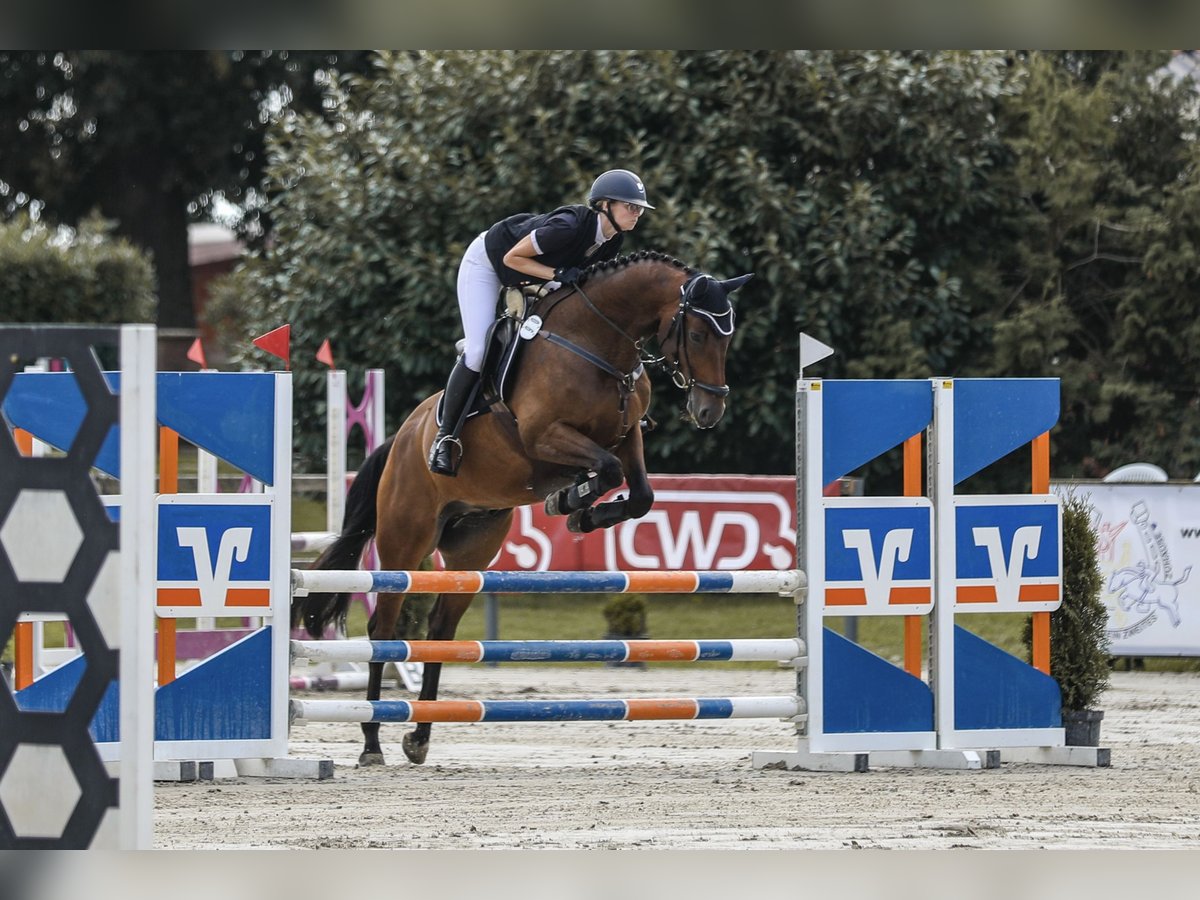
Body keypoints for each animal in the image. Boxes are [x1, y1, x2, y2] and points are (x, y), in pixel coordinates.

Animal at [290, 248, 748, 768]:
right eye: (698, 334)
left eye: (727, 337)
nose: (709, 412)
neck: (597, 343)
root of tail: (402, 437)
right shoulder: (544, 435)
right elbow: (607, 470)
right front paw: (569, 500)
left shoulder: (627, 434)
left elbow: (639, 493)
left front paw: (579, 509)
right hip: (405, 541)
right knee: (383, 628)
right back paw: (371, 742)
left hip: (472, 548)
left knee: (441, 629)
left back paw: (420, 737)